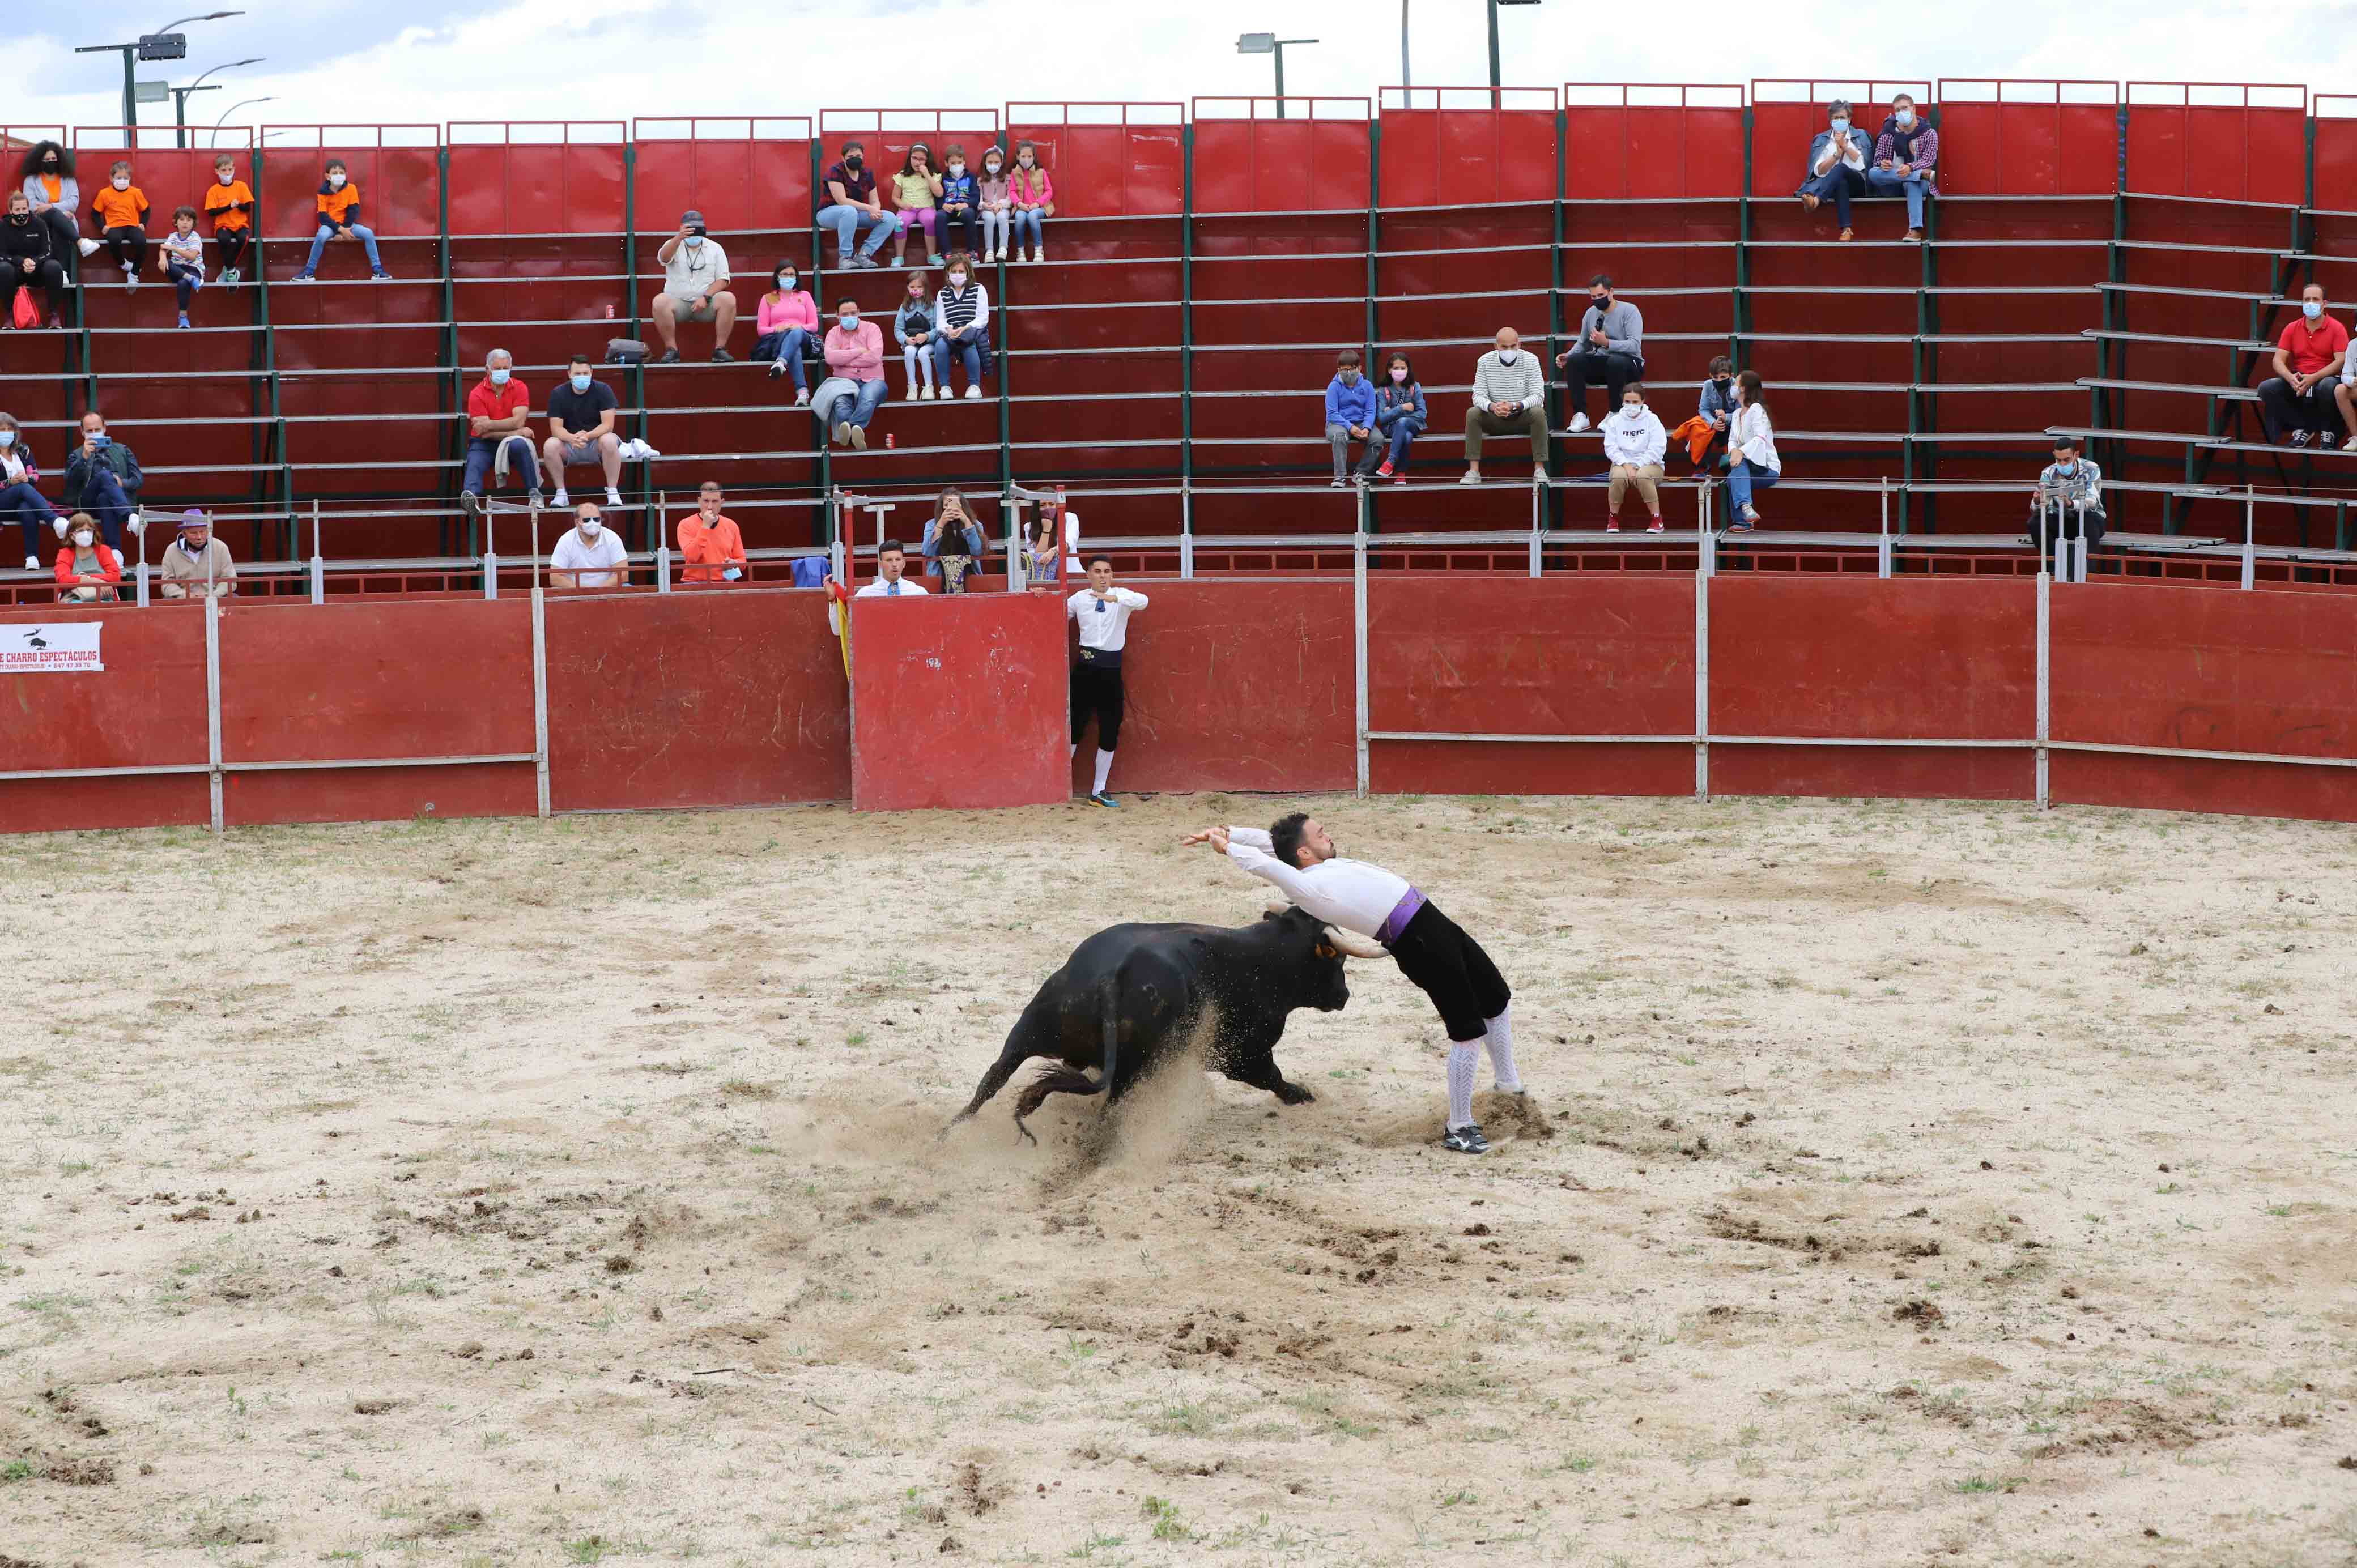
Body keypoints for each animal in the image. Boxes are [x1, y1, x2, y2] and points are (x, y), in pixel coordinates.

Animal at [938, 905, 1376, 1136]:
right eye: (1338, 960)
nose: (1344, 996)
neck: (1266, 958)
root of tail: (1110, 975)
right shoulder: (1245, 1054)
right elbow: (1274, 1077)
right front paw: (1301, 1095)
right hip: (1136, 1067)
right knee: (1111, 1108)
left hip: (1029, 1031)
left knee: (991, 1081)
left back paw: (949, 1133)